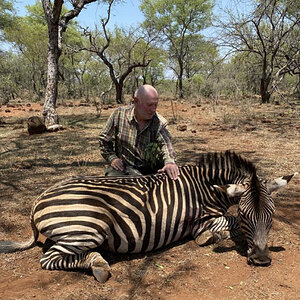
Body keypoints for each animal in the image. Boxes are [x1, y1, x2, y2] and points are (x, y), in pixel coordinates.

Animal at [0, 151, 296, 282]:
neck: (206, 186)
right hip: (88, 225)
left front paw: (212, 236)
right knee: (50, 259)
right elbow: (226, 223)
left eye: (271, 216)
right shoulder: (201, 218)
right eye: (245, 215)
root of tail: (38, 199)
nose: (262, 260)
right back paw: (98, 264)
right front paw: (213, 236)